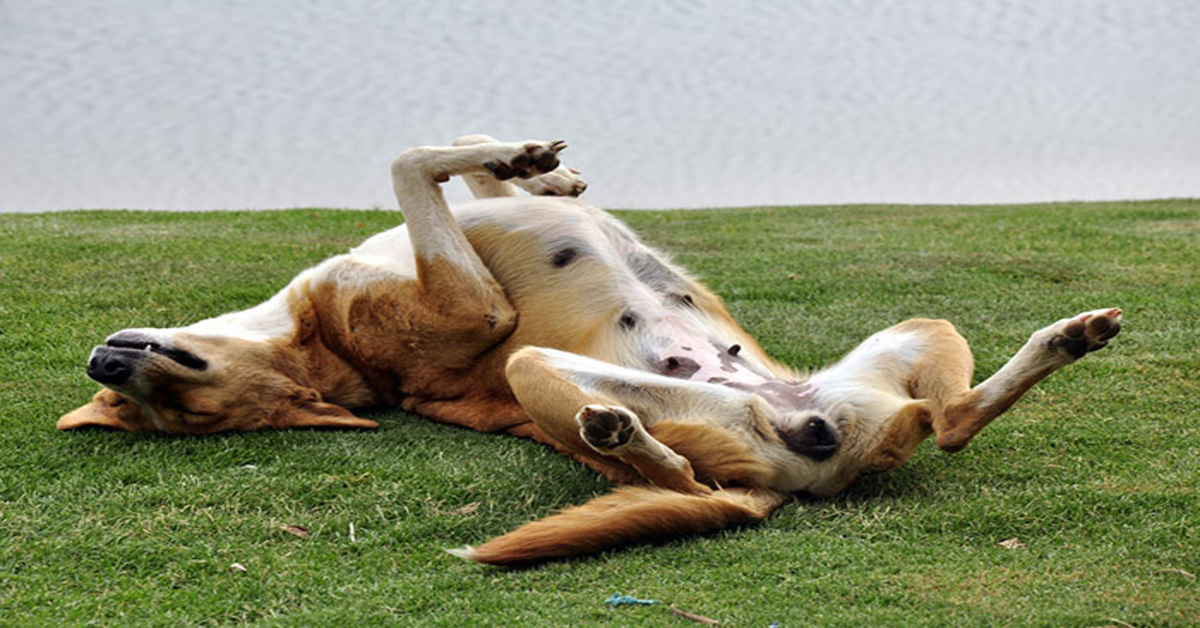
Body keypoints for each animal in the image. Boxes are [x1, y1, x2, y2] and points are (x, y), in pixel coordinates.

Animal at [58, 135, 1123, 566]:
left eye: (150, 403)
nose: (106, 367)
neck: (323, 345)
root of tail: (790, 456)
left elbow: (475, 173)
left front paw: (546, 173)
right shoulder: (476, 307)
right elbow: (413, 157)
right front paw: (522, 160)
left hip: (920, 332)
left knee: (950, 416)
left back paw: (1066, 338)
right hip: (547, 375)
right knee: (692, 480)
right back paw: (622, 440)